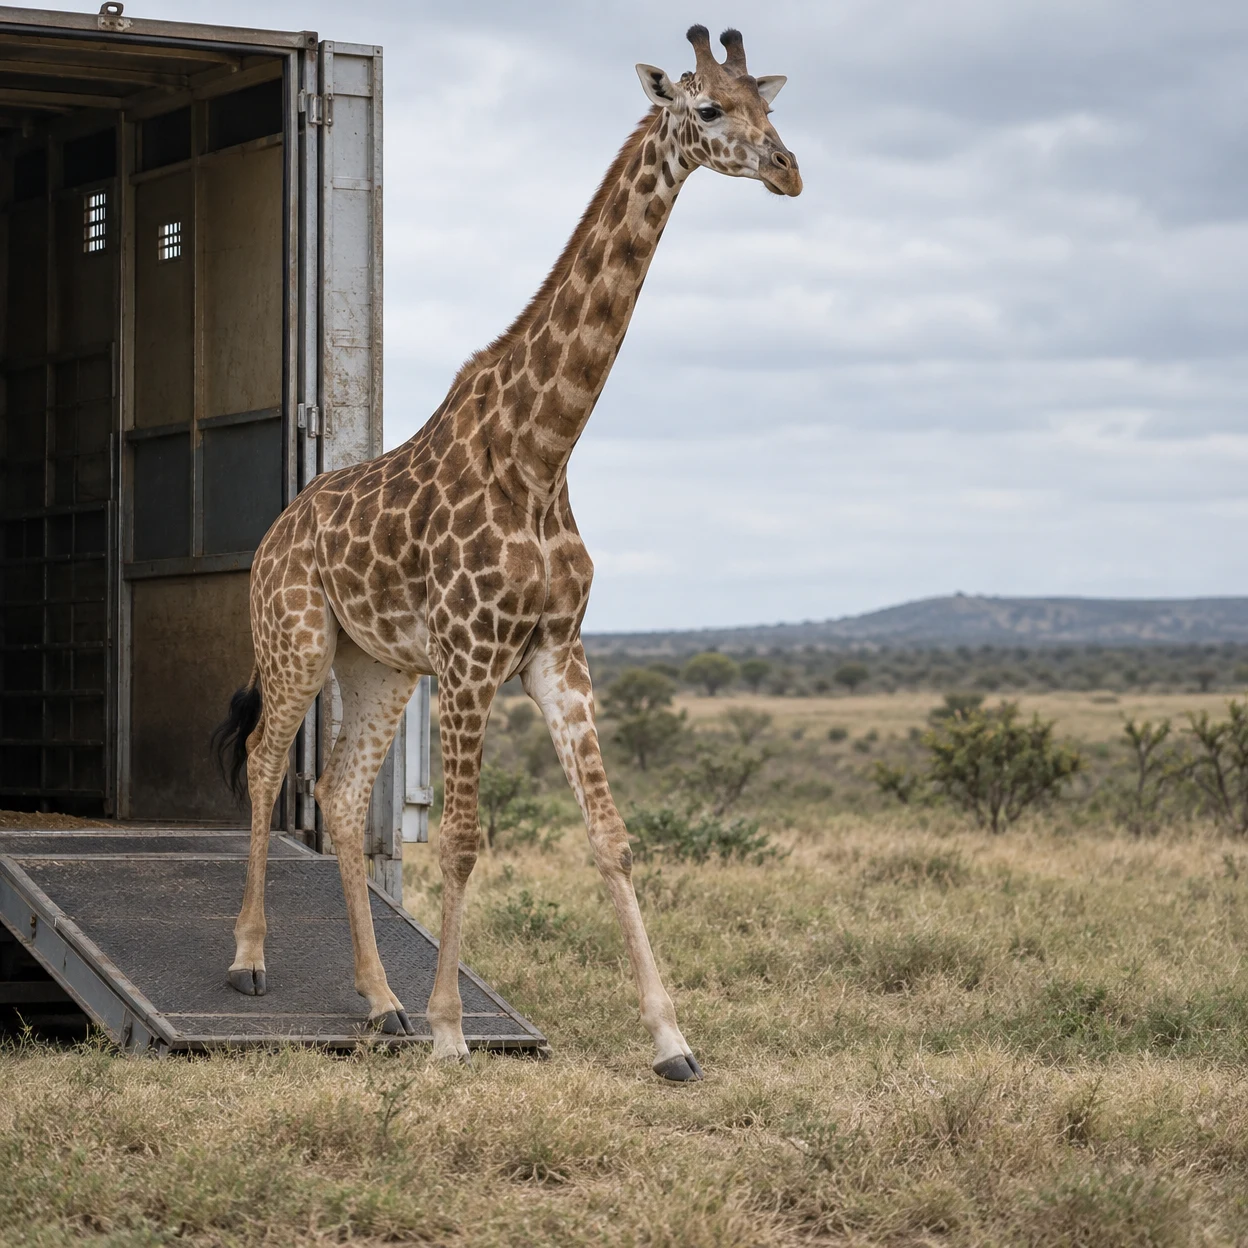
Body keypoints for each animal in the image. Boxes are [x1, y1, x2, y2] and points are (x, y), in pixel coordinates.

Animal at [212, 24, 801, 1081]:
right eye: (708, 108)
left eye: (771, 104)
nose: (789, 170)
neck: (543, 450)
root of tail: (278, 529)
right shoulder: (472, 656)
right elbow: (461, 840)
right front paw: (452, 1030)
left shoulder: (556, 656)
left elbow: (611, 837)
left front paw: (671, 1041)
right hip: (297, 639)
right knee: (269, 764)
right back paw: (251, 961)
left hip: (378, 665)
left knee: (341, 791)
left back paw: (380, 1004)